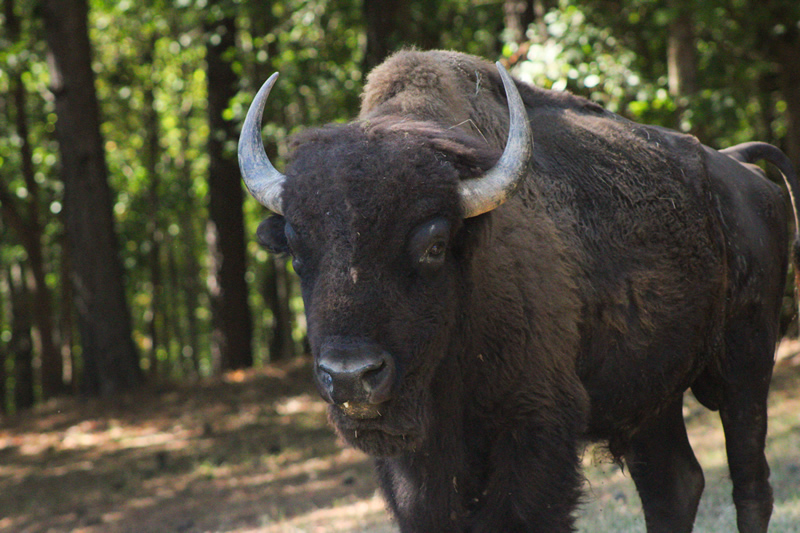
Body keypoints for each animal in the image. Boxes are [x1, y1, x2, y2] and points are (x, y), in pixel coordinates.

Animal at [238, 50, 800, 532]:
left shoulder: (534, 431)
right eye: (295, 248)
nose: (351, 376)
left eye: (434, 244)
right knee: (675, 486)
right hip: (649, 396)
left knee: (750, 485)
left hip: (745, 368)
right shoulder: (417, 466)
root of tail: (743, 173)